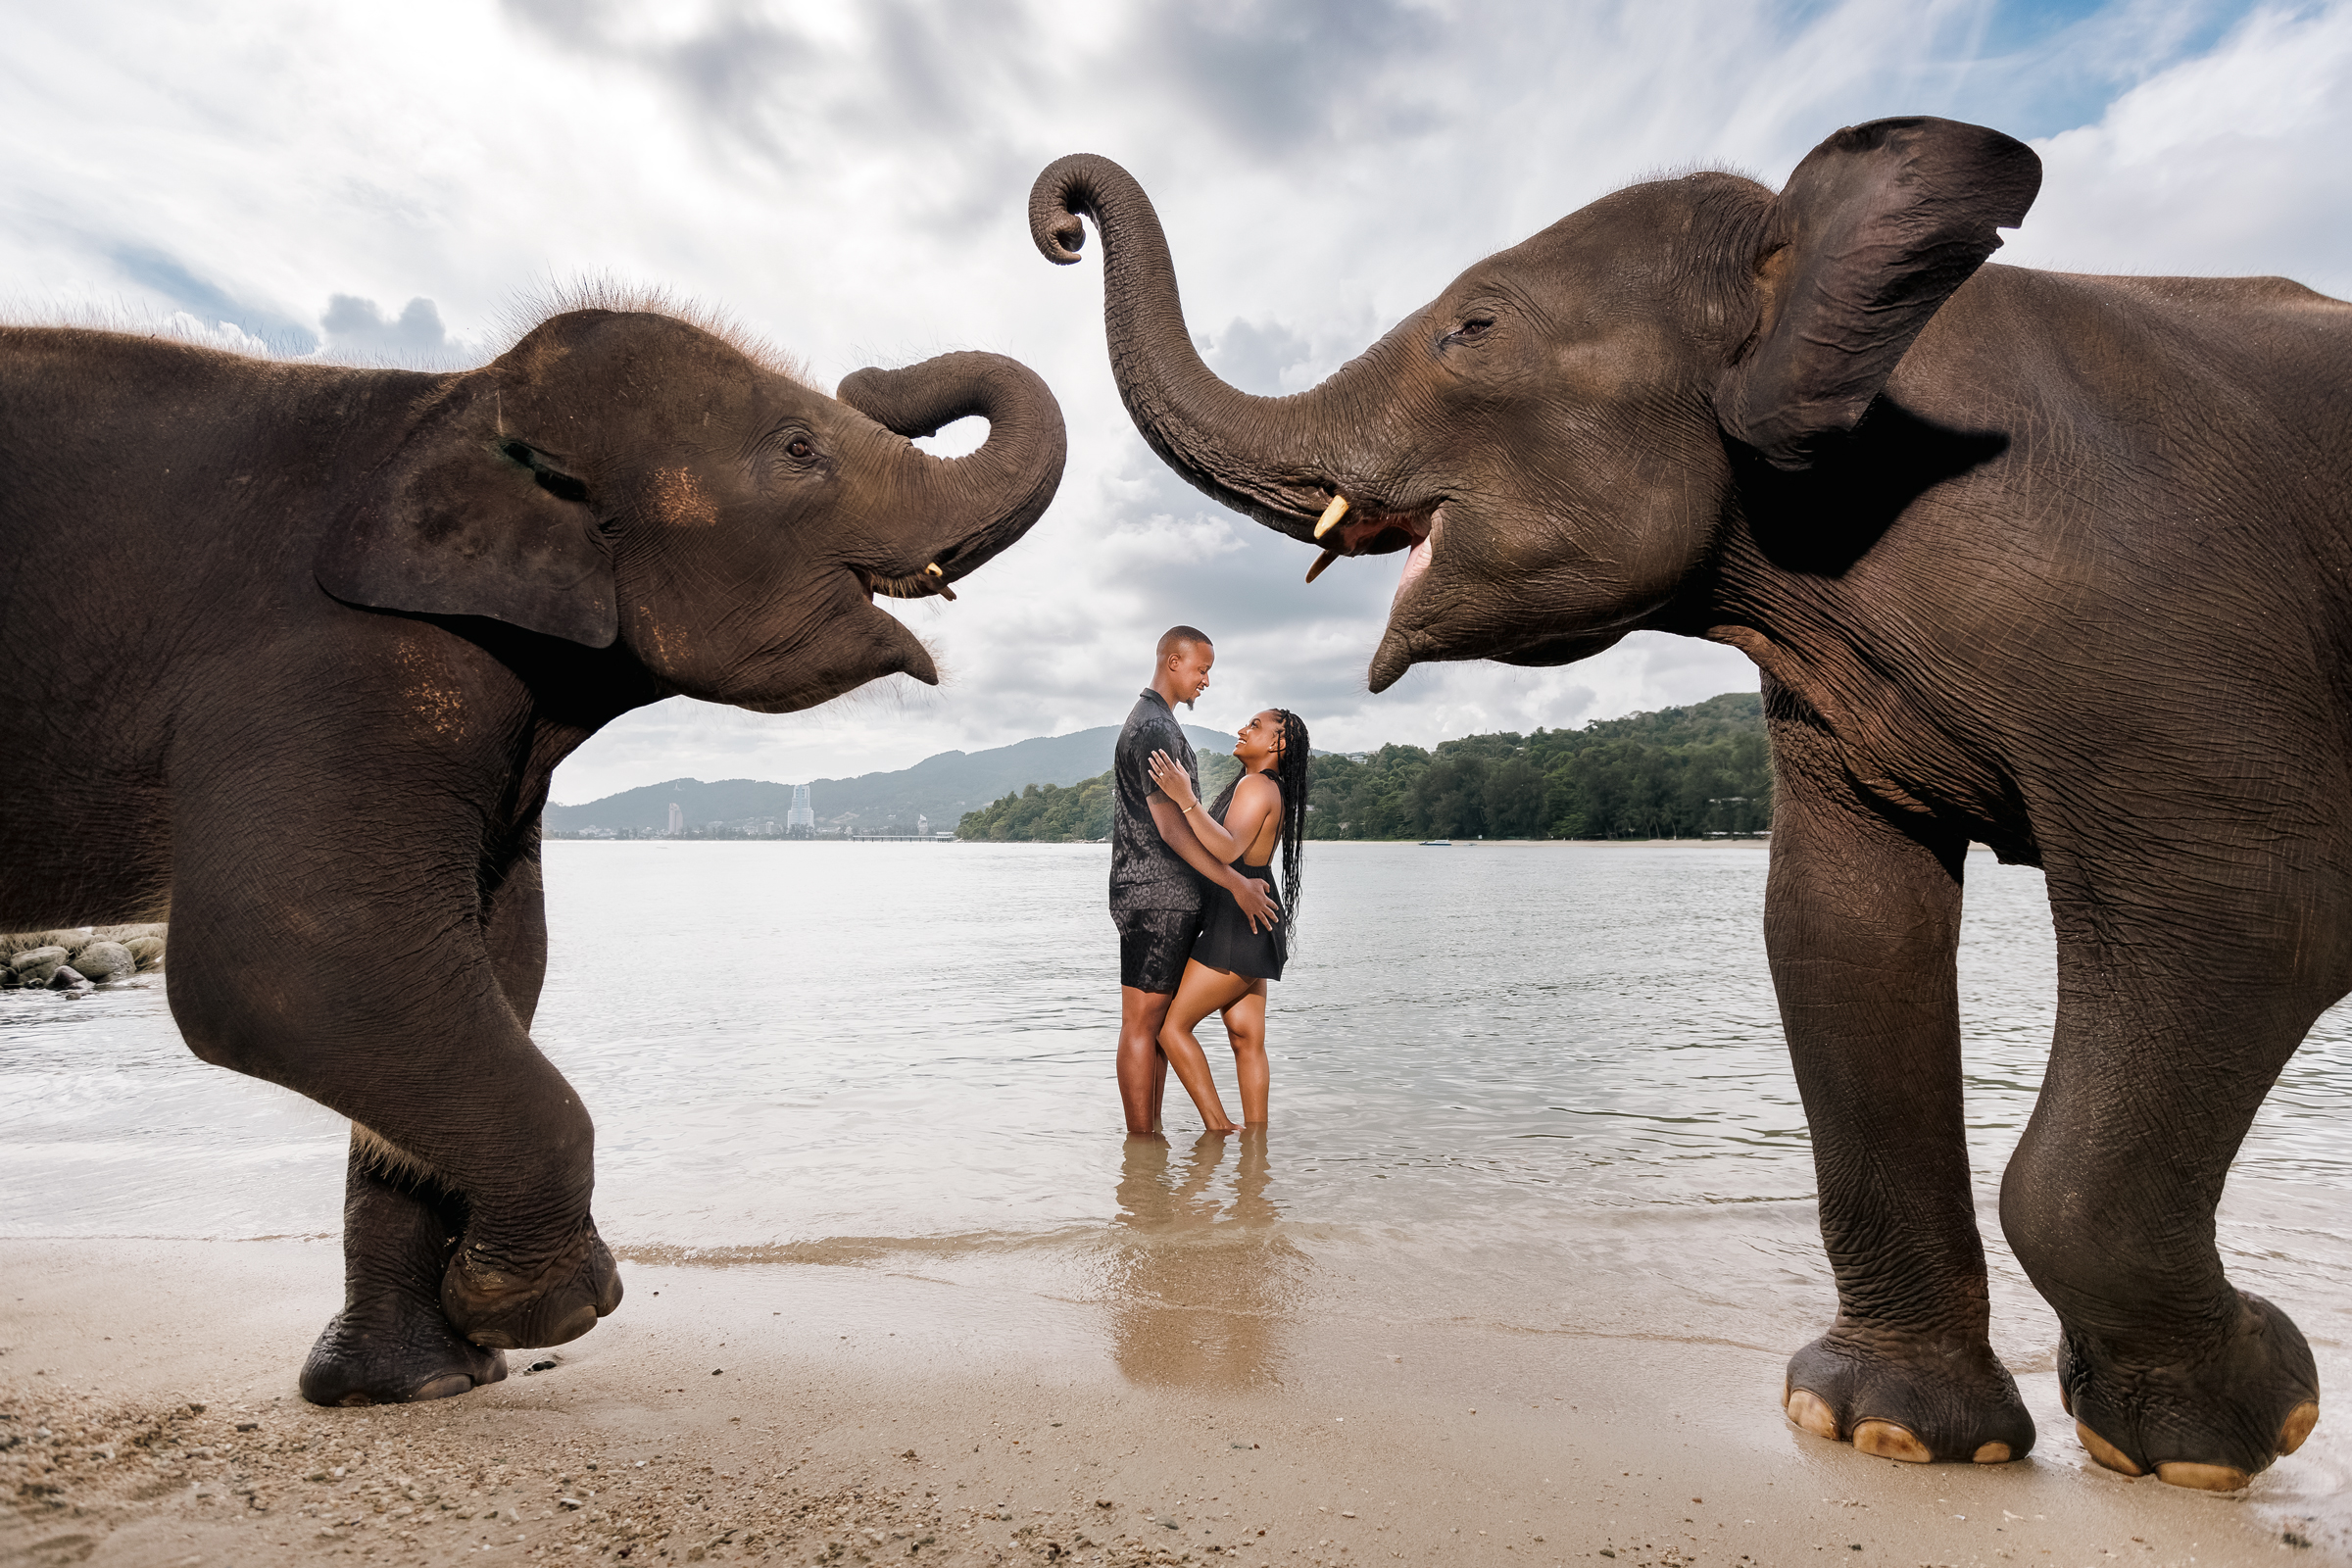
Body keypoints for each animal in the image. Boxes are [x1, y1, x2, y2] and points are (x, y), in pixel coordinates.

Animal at [0, 302, 1064, 1404]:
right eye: (799, 449)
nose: (877, 375)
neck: (449, 401)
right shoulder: (328, 666)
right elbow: (287, 962)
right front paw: (548, 1309)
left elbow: (492, 964)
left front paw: (424, 1380)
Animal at [1030, 117, 2349, 1489]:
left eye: (1473, 326)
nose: (1061, 219)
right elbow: (1840, 930)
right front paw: (1884, 1429)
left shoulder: (2167, 616)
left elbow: (2253, 913)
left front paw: (2230, 1433)